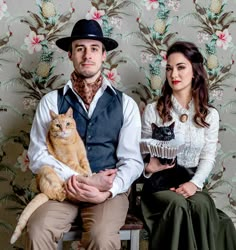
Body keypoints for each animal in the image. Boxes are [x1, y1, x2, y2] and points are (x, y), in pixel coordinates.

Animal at [10, 106, 91, 243]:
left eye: (67, 124)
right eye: (58, 125)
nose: (63, 130)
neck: (70, 141)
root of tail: (42, 191)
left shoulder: (83, 157)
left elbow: (87, 167)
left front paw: (90, 173)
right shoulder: (70, 162)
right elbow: (79, 169)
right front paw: (87, 175)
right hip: (47, 170)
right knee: (57, 194)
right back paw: (64, 193)